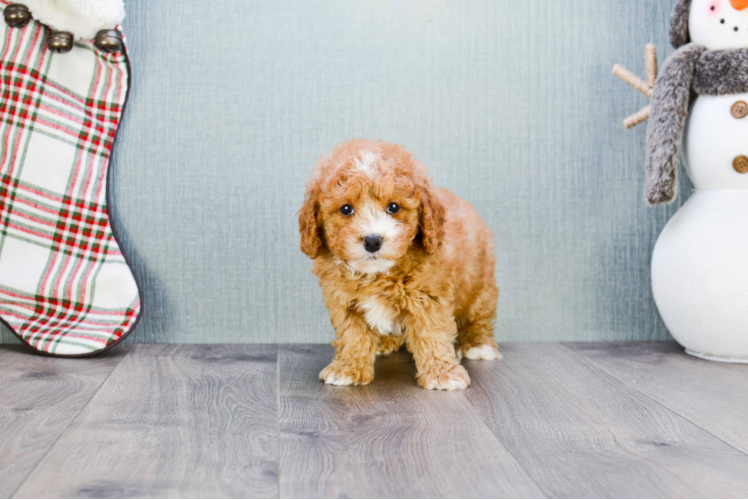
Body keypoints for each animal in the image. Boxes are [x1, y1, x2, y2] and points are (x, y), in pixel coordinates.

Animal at [298, 140, 502, 390]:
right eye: (346, 209)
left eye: (393, 207)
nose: (373, 240)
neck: (377, 275)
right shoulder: (344, 301)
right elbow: (352, 335)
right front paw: (348, 369)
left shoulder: (429, 297)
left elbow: (432, 334)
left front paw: (442, 374)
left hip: (480, 282)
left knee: (478, 315)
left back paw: (479, 345)